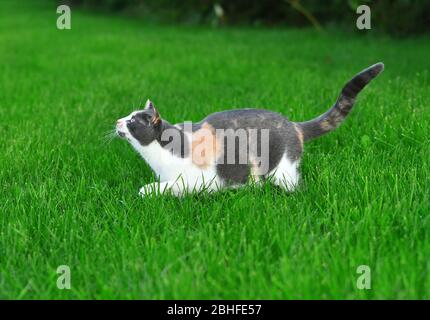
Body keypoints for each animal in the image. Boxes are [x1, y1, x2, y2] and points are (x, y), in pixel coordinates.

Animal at [114, 62, 382, 196]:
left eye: (132, 121)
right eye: (127, 115)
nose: (117, 121)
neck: (156, 157)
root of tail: (293, 124)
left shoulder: (196, 180)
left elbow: (166, 188)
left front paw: (148, 190)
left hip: (282, 171)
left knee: (296, 187)